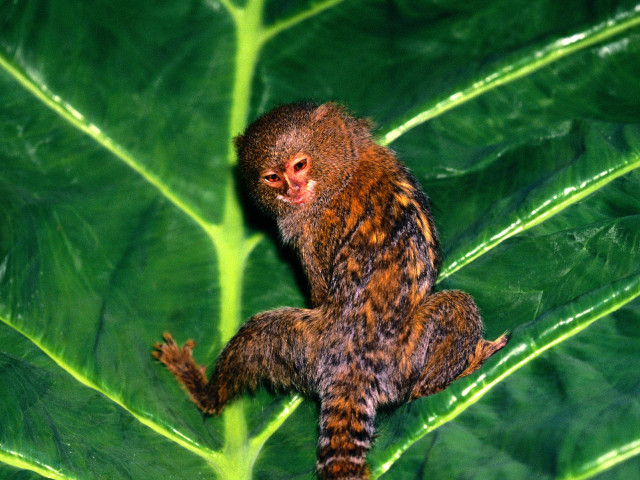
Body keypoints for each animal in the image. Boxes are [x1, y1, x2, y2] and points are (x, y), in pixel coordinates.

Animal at [153, 102, 508, 480]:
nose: (292, 190)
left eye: (299, 165)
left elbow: (320, 293)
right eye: (272, 177)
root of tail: (352, 365)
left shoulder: (311, 230)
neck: (343, 171)